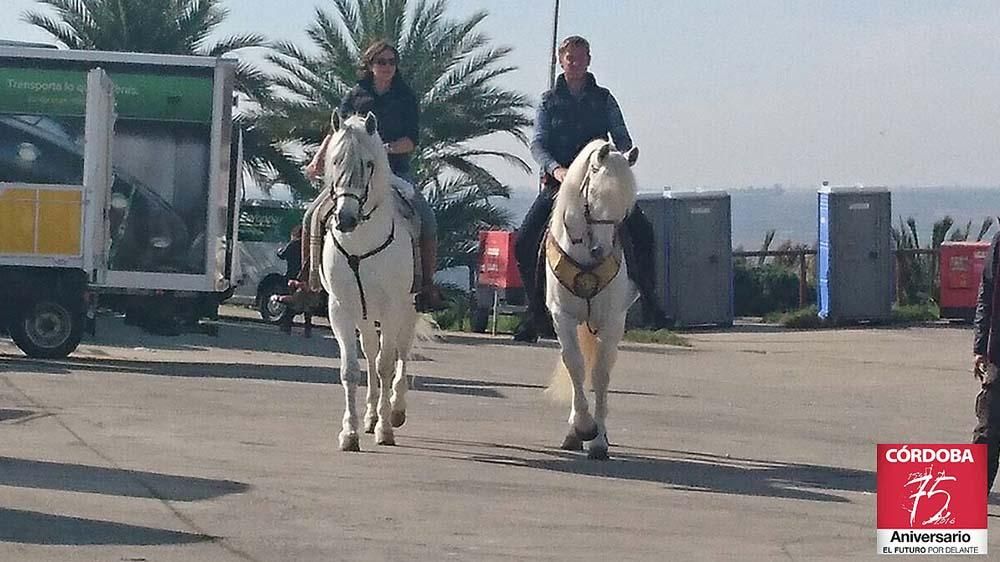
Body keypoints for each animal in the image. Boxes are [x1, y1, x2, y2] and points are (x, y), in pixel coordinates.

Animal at [316, 110, 418, 450]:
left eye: (369, 164)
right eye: (335, 160)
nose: (346, 219)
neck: (361, 245)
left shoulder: (392, 309)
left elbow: (387, 364)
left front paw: (385, 429)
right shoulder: (341, 309)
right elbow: (351, 370)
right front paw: (350, 432)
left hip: (407, 310)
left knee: (400, 352)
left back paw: (395, 411)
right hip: (365, 315)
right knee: (372, 353)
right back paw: (371, 415)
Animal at [548, 138, 640, 458]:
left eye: (626, 204)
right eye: (596, 195)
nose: (601, 250)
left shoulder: (612, 319)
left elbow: (600, 372)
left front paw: (598, 439)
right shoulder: (562, 316)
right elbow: (574, 365)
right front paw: (581, 428)